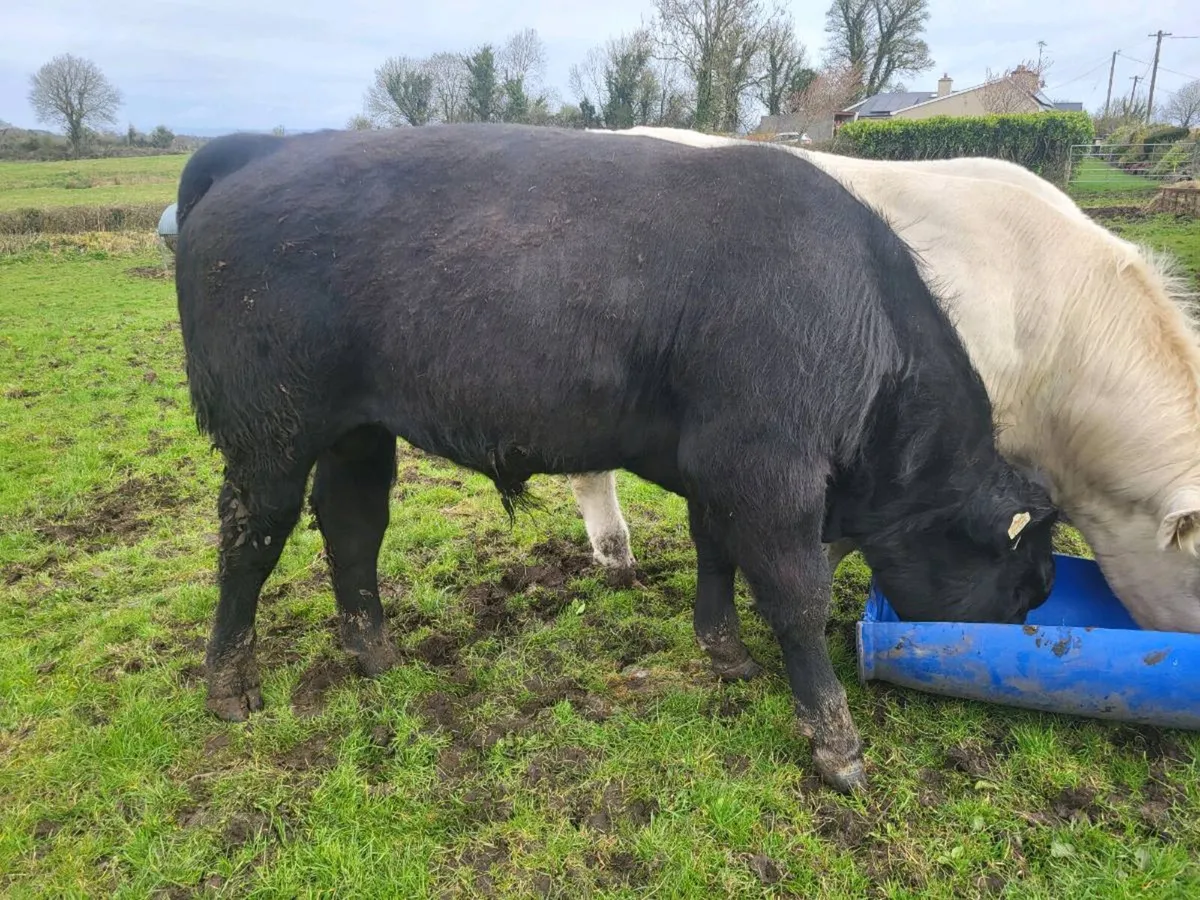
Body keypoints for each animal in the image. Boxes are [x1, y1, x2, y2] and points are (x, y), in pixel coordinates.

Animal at [174, 123, 1058, 793]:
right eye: (1025, 583)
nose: (1024, 627)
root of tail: (260, 151)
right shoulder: (767, 470)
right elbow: (796, 594)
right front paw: (835, 742)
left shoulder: (715, 467)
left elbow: (716, 552)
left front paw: (725, 651)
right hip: (269, 435)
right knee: (250, 541)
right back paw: (228, 684)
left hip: (356, 431)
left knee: (353, 525)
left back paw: (374, 651)